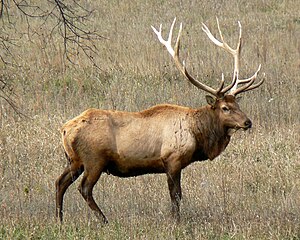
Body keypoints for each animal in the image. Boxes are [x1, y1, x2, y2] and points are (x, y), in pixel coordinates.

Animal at [55, 17, 262, 223]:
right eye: (225, 108)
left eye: (237, 104)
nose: (247, 122)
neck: (197, 134)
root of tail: (65, 129)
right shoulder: (172, 160)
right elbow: (176, 195)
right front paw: (176, 221)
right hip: (94, 159)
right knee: (84, 188)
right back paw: (104, 220)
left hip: (75, 160)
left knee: (59, 182)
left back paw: (60, 219)